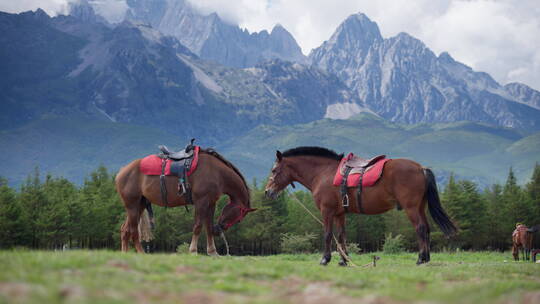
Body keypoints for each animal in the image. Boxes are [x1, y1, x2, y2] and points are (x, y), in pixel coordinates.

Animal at [264, 146, 458, 264]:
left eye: (274, 170)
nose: (267, 192)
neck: (323, 173)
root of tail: (420, 168)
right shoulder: (340, 213)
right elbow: (341, 235)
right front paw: (343, 260)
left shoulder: (327, 211)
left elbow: (327, 234)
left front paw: (325, 259)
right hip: (419, 207)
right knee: (426, 228)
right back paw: (426, 258)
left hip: (411, 208)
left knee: (420, 228)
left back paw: (420, 258)